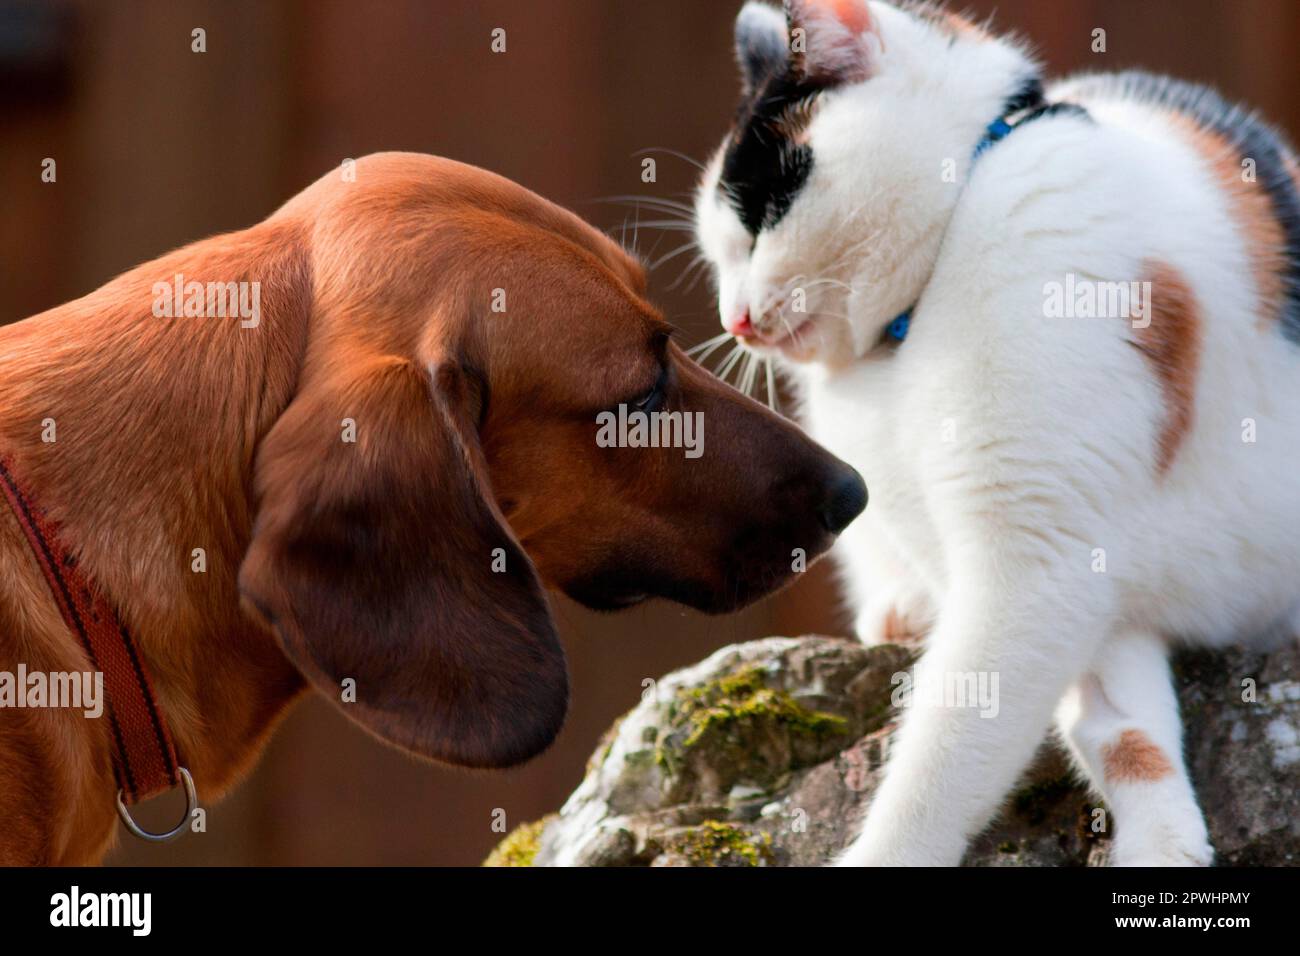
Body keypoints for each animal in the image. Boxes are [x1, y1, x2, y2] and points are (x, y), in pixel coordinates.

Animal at [691, 0, 1300, 868]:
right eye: (719, 252)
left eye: (757, 220)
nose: (733, 319)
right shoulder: (1076, 578)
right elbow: (1118, 722)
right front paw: (1164, 838)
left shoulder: (1035, 559)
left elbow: (948, 754)